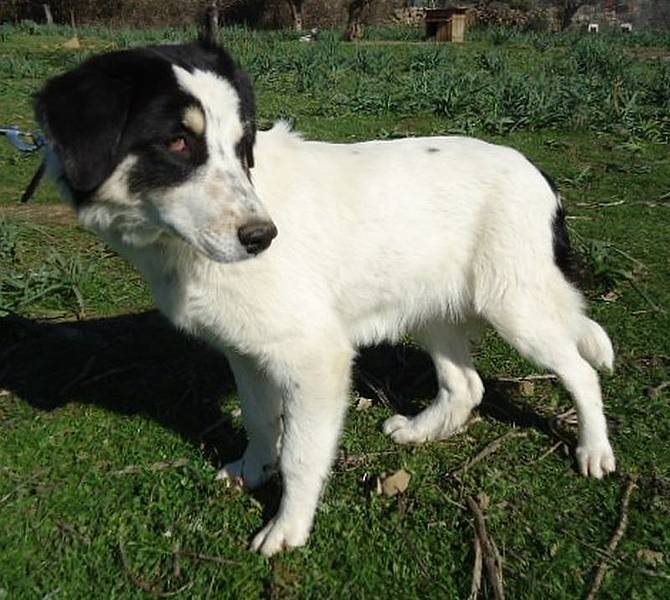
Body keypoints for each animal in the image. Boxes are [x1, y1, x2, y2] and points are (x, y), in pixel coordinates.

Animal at [35, 36, 616, 556]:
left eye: (241, 146)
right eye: (177, 142)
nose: (263, 238)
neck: (174, 250)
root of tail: (537, 172)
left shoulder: (315, 358)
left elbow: (299, 453)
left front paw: (288, 527)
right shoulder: (245, 350)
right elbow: (261, 421)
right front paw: (253, 470)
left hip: (515, 306)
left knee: (580, 370)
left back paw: (593, 450)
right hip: (430, 307)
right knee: (465, 385)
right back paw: (422, 431)